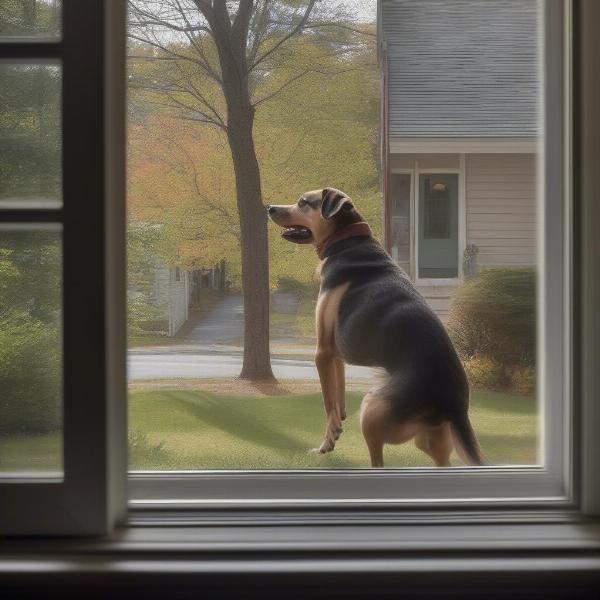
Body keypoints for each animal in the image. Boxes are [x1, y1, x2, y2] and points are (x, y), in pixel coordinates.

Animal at [268, 188, 488, 468]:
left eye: (303, 202)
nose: (270, 208)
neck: (347, 242)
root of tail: (455, 405)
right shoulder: (335, 355)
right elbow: (338, 394)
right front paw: (338, 427)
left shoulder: (323, 352)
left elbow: (328, 402)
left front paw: (326, 444)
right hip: (429, 439)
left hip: (372, 408)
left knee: (379, 461)